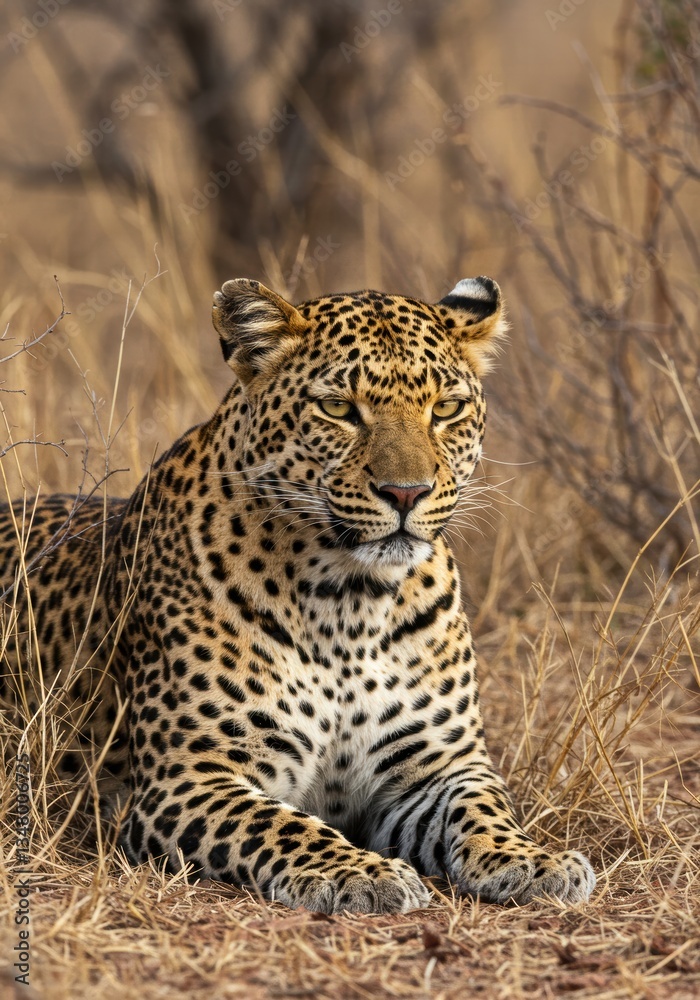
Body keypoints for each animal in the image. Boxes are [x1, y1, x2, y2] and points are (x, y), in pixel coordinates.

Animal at [0, 276, 596, 914]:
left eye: (445, 409)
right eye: (338, 409)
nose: (406, 493)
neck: (350, 597)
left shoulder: (439, 766)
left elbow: (484, 811)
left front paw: (535, 861)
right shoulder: (186, 777)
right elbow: (283, 824)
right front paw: (360, 872)